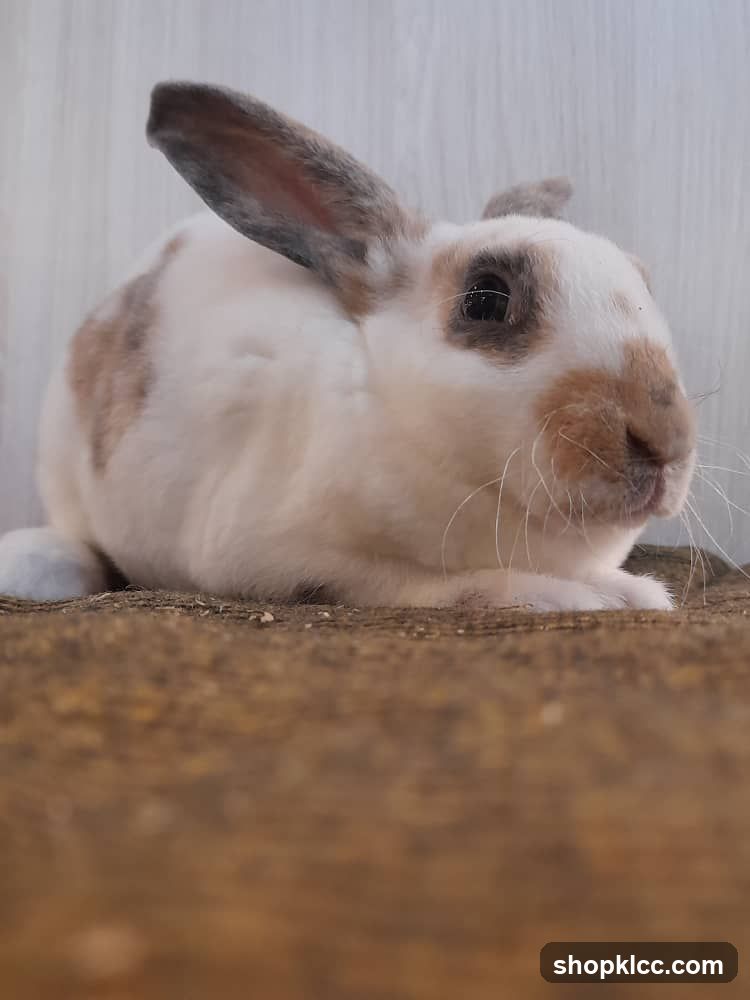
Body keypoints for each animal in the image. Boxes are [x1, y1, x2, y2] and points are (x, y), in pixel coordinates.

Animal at [0, 81, 696, 611]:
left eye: (643, 279)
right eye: (486, 299)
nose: (665, 442)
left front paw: (627, 589)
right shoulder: (284, 559)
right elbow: (437, 586)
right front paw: (591, 596)